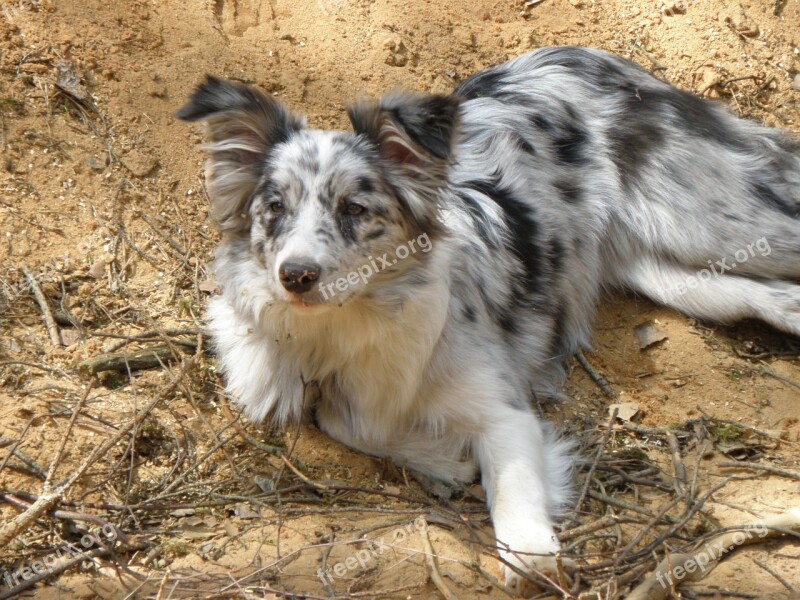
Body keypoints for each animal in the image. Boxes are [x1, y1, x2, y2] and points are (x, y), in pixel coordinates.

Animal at [180, 47, 800, 592]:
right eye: (274, 209)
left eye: (355, 209)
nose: (296, 276)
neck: (349, 323)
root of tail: (593, 57)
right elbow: (343, 420)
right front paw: (442, 459)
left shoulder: (506, 415)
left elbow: (513, 493)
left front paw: (527, 551)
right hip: (679, 275)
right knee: (767, 294)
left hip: (720, 227)